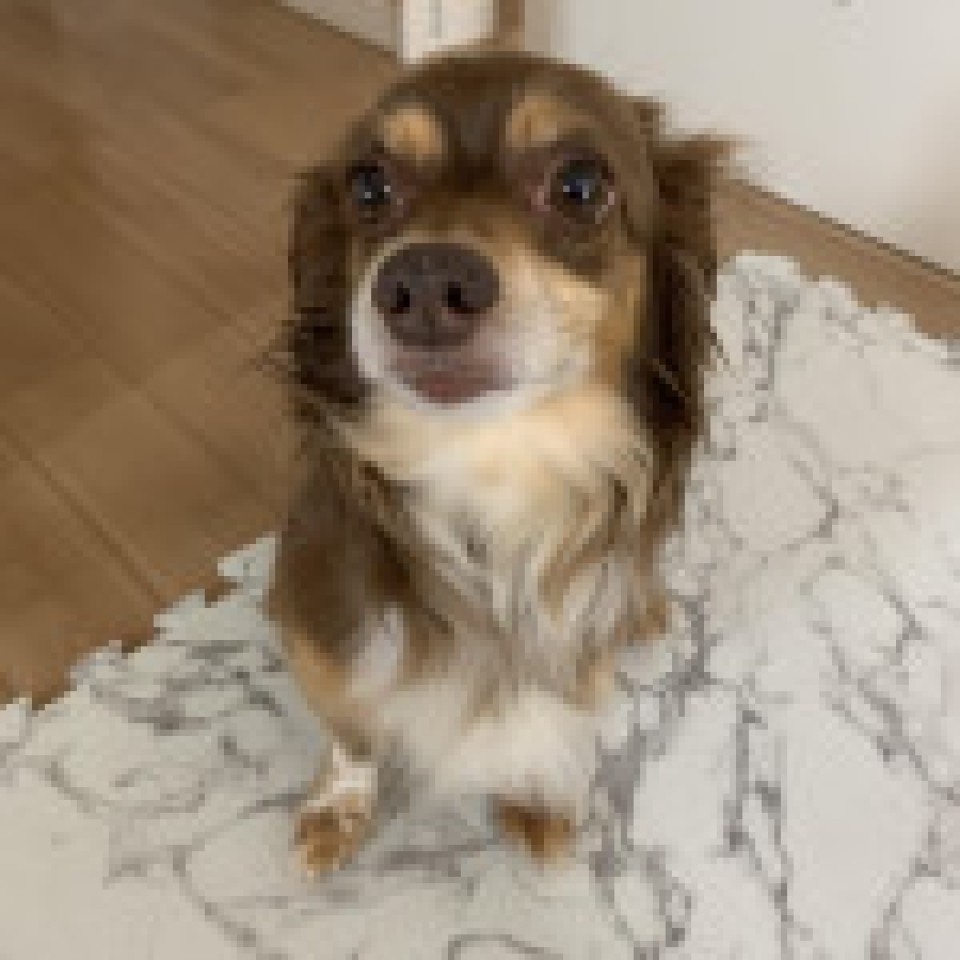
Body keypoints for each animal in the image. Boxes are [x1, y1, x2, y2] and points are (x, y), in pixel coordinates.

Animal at [266, 48, 727, 871]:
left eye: (581, 185)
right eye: (368, 186)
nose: (422, 282)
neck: (490, 465)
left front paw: (534, 793)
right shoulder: (317, 621)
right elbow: (350, 727)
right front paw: (339, 803)